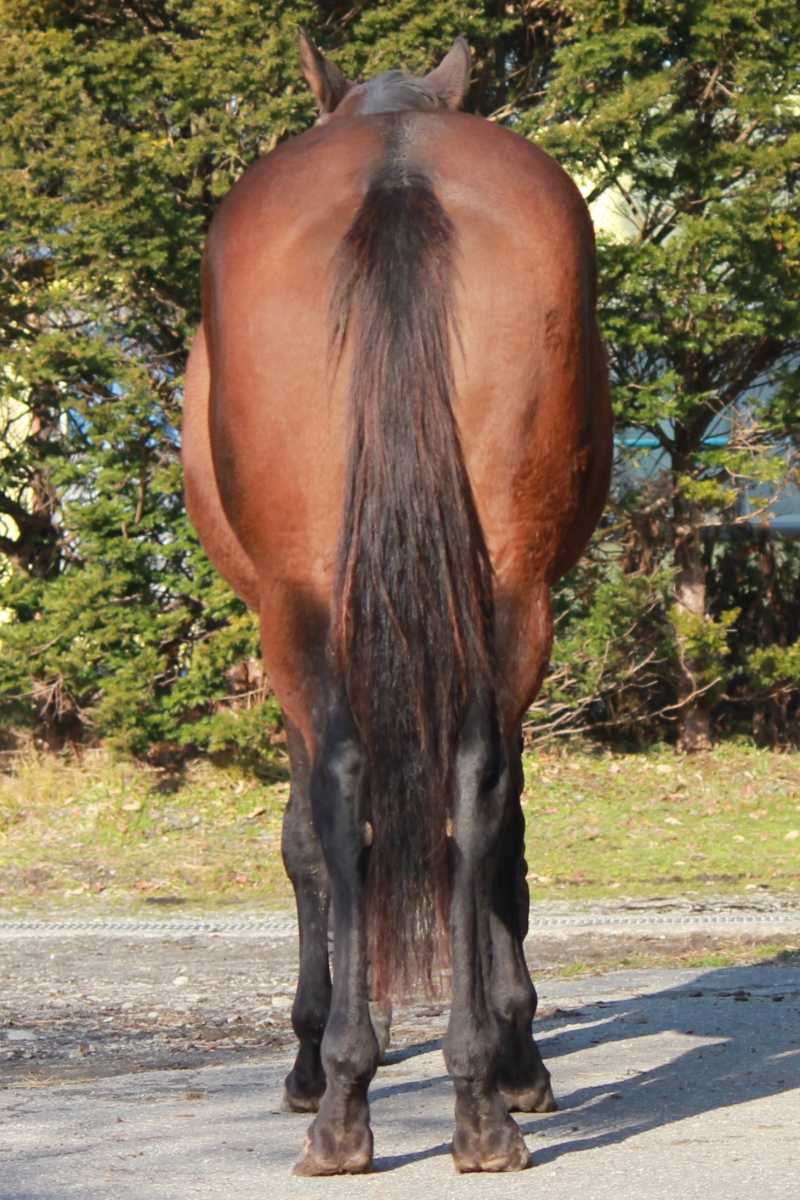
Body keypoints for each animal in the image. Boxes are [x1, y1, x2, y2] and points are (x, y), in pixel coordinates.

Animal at [182, 32, 612, 1175]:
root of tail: (397, 169)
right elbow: (497, 826)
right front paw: (511, 1051)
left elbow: (304, 840)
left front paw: (312, 1053)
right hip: (510, 592)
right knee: (476, 791)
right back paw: (478, 1103)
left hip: (300, 611)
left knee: (338, 798)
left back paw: (342, 1098)